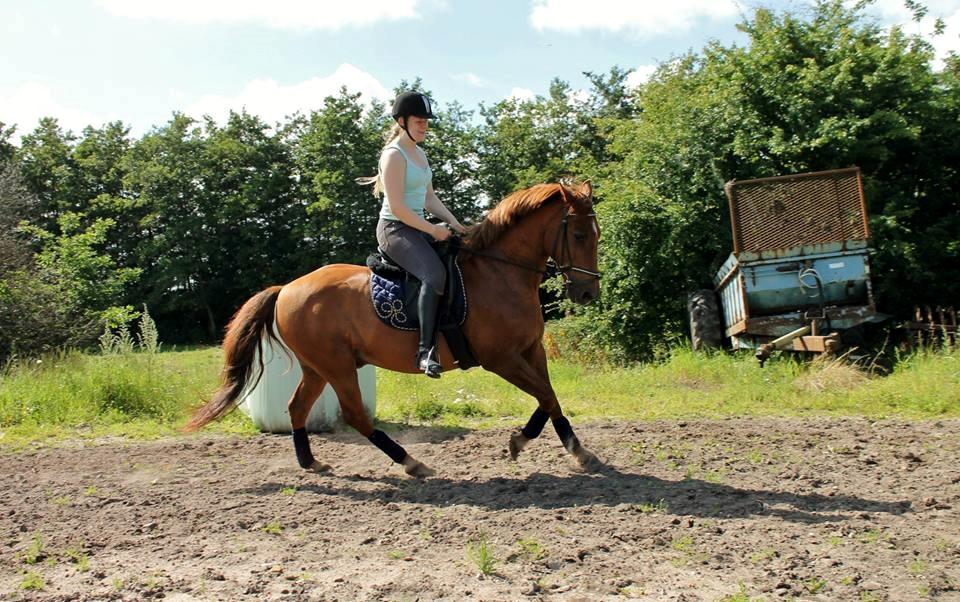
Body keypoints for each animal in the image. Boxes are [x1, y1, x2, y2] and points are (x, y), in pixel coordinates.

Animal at [186, 178, 600, 474]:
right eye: (579, 235)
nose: (588, 293)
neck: (500, 272)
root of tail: (286, 288)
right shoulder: (501, 359)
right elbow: (544, 396)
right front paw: (527, 443)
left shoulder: (531, 350)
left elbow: (550, 397)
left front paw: (572, 450)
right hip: (337, 366)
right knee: (354, 414)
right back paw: (411, 463)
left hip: (317, 367)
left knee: (297, 407)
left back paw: (311, 462)